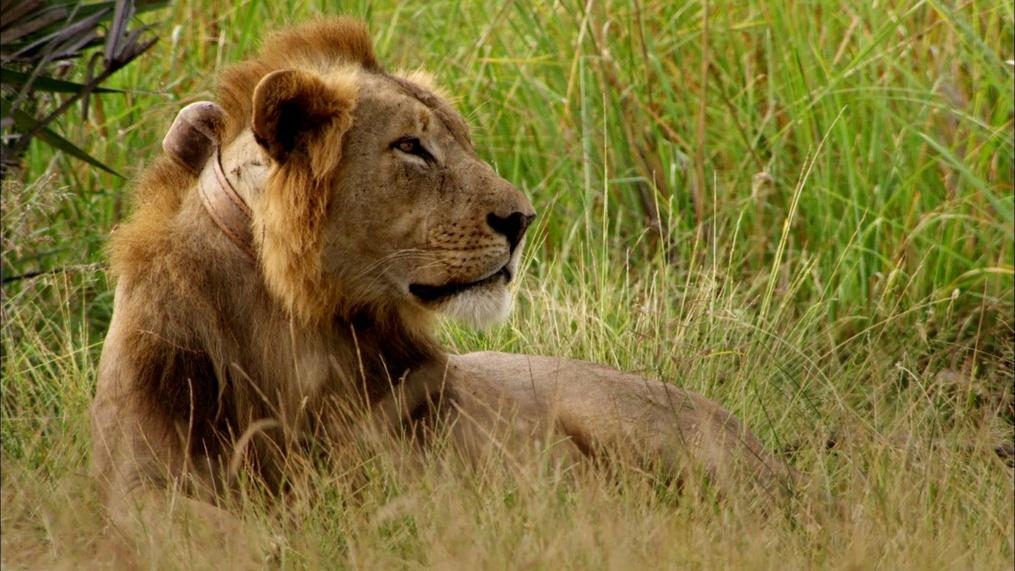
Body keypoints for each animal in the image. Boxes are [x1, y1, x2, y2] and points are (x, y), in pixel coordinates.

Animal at [91, 18, 789, 546]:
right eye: (411, 147)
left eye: (458, 142)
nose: (522, 219)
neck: (284, 320)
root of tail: (766, 453)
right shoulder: (129, 480)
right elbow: (195, 525)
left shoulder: (438, 477)